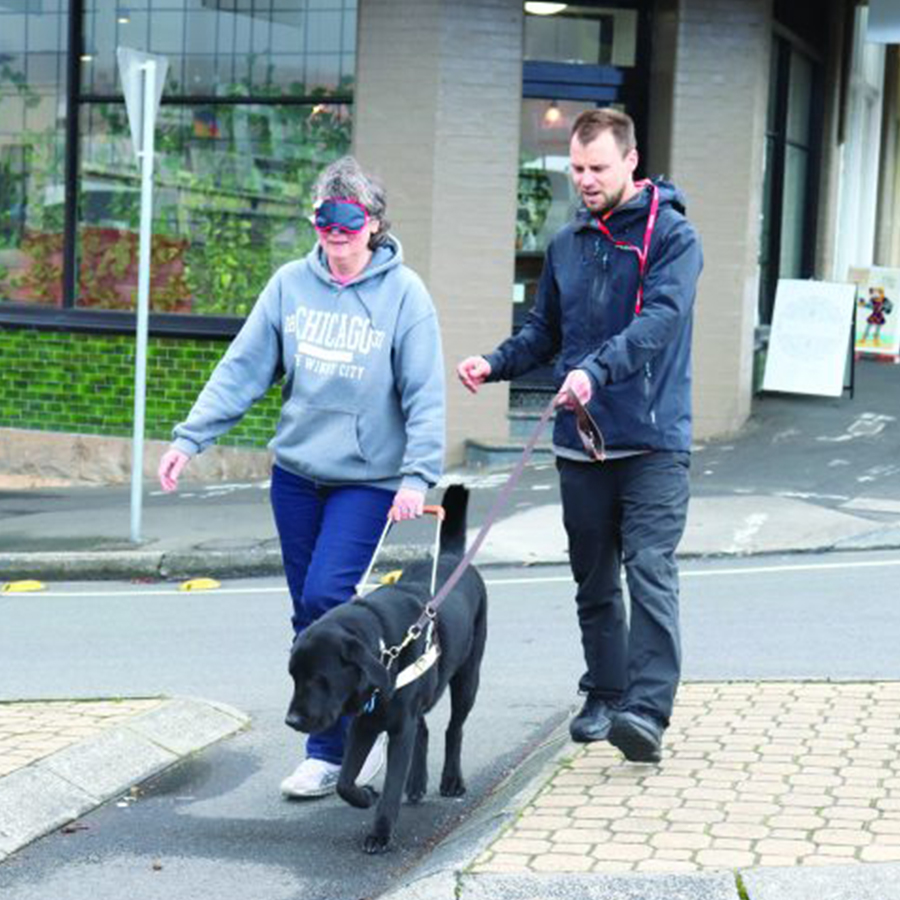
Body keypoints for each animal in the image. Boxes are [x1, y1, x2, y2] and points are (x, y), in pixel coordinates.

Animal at [286, 486, 486, 852]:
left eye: (320, 679)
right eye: (293, 677)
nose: (291, 720)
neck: (384, 647)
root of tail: (451, 557)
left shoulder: (398, 727)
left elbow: (392, 783)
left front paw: (380, 832)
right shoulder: (364, 722)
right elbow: (344, 782)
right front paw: (364, 796)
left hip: (468, 676)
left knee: (454, 728)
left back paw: (451, 779)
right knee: (424, 728)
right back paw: (417, 783)